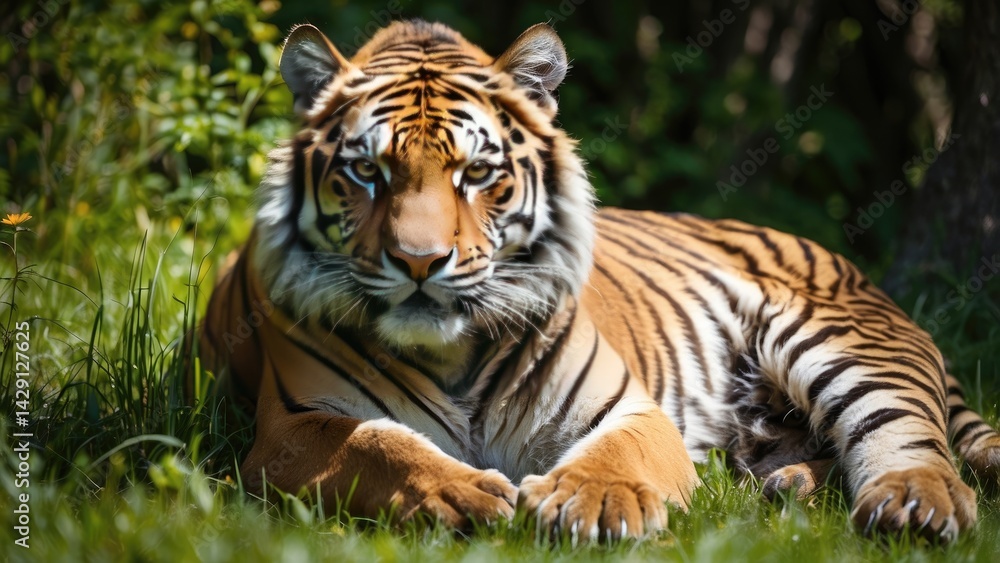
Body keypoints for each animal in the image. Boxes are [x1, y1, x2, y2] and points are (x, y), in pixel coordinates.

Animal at [196, 20, 1000, 543]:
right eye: (367, 171)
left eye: (476, 173)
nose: (421, 262)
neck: (453, 354)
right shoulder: (291, 425)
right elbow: (377, 445)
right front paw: (461, 493)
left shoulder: (630, 407)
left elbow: (616, 456)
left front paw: (595, 503)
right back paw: (789, 485)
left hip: (842, 342)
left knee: (909, 438)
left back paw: (913, 506)